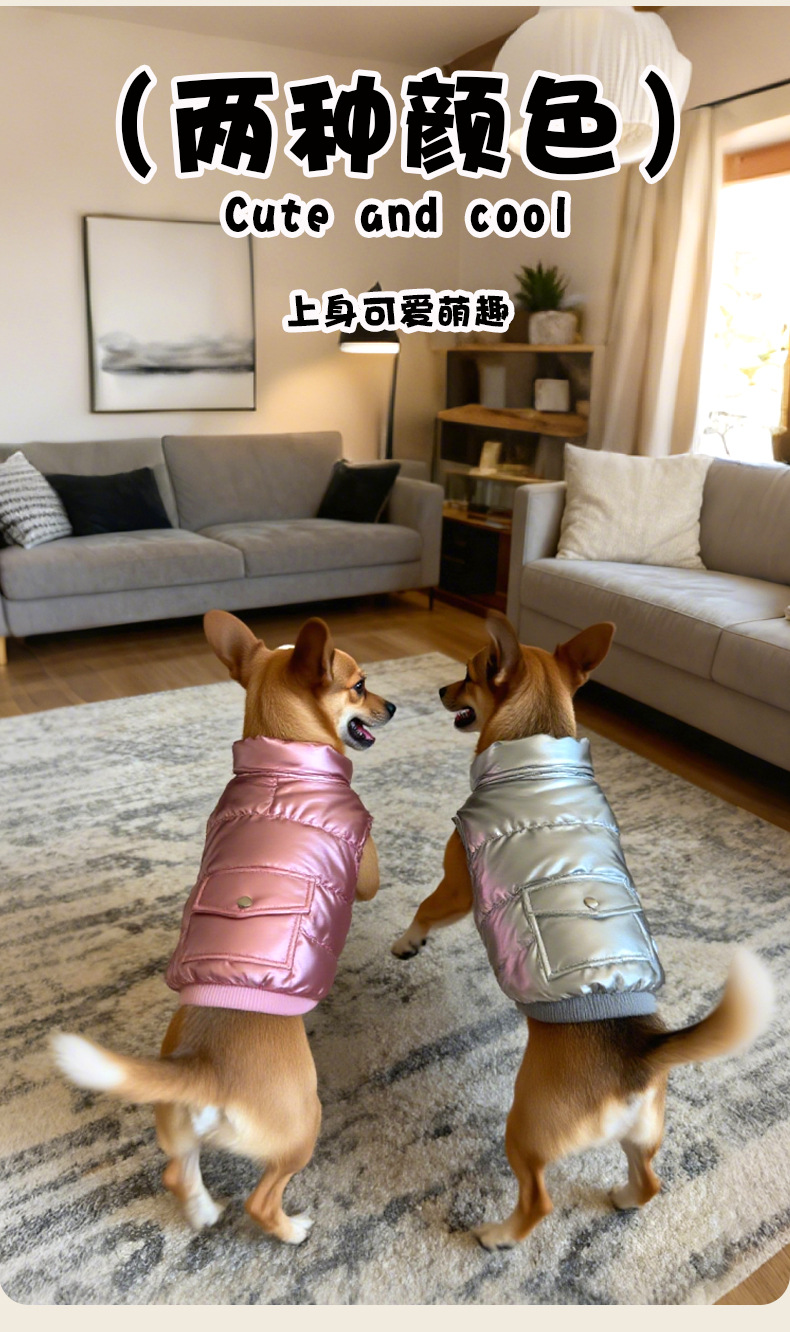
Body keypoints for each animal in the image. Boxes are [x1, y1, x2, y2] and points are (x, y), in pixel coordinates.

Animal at [52, 610, 395, 1244]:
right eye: (359, 686)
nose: (394, 705)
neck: (282, 754)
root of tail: (203, 1072)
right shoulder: (364, 863)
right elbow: (370, 874)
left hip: (178, 1131)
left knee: (176, 1173)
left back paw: (204, 1212)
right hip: (303, 1126)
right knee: (262, 1200)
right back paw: (293, 1229)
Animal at [392, 611, 773, 1249]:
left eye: (468, 673)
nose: (442, 690)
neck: (539, 746)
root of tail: (639, 1057)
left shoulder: (458, 887)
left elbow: (425, 907)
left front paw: (407, 941)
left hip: (524, 1130)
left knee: (539, 1200)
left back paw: (498, 1234)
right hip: (644, 1138)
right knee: (649, 1182)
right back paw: (621, 1198)